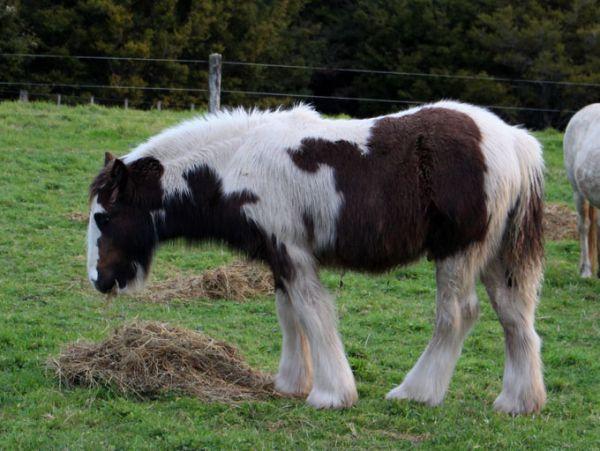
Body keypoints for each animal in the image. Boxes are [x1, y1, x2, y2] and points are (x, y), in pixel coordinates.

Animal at [86, 100, 548, 414]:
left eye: (103, 216)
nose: (98, 279)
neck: (237, 166)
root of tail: (516, 142)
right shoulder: (277, 257)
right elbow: (289, 315)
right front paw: (292, 383)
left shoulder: (292, 251)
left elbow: (313, 313)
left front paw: (331, 394)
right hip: (496, 258)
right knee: (516, 318)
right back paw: (518, 402)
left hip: (457, 253)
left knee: (458, 315)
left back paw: (415, 392)